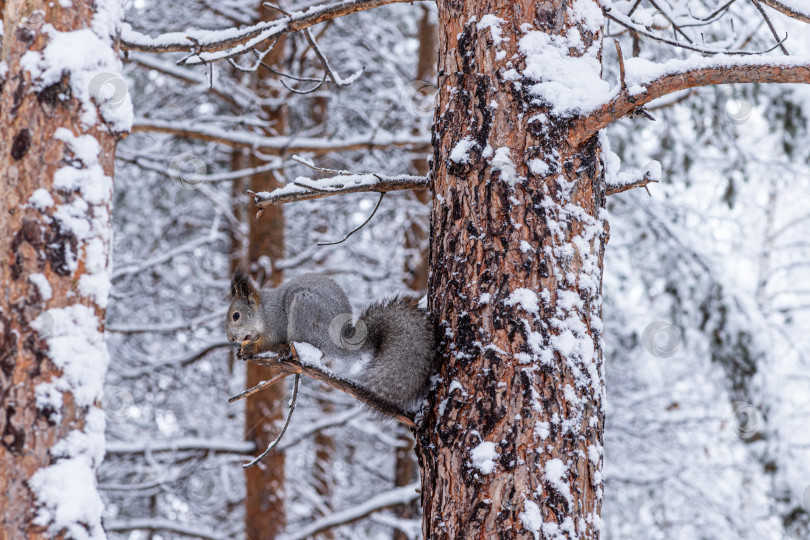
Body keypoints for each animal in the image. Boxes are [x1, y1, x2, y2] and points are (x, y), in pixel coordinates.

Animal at [224, 268, 432, 414]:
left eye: (236, 315)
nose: (230, 338)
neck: (262, 311)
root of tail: (340, 341)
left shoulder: (276, 323)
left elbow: (269, 341)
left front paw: (250, 349)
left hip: (304, 310)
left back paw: (288, 352)